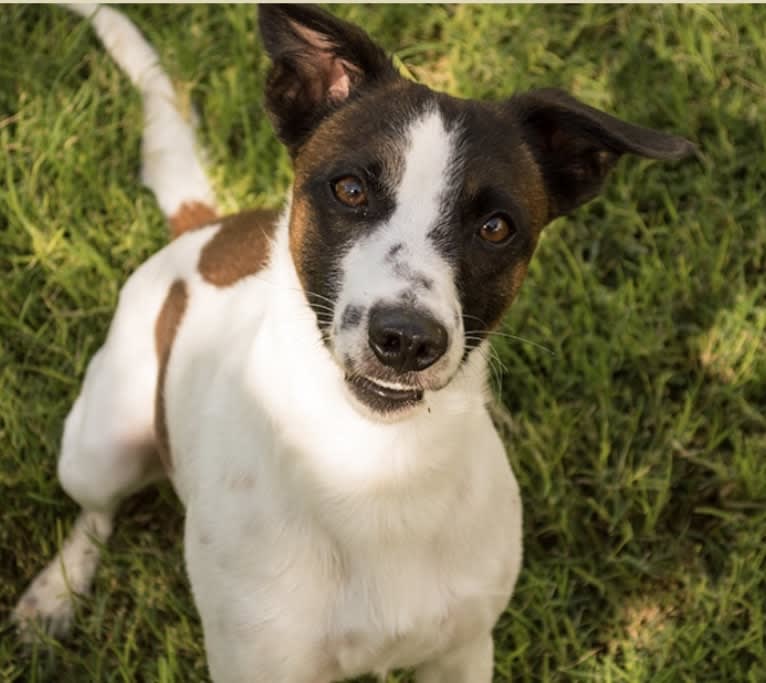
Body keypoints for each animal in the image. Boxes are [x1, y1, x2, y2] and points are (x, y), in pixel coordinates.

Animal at [13, 2, 696, 680]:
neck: (374, 463)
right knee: (96, 511)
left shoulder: (463, 652)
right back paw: (58, 591)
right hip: (99, 448)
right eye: (350, 189)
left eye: (497, 227)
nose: (407, 340)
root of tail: (206, 227)